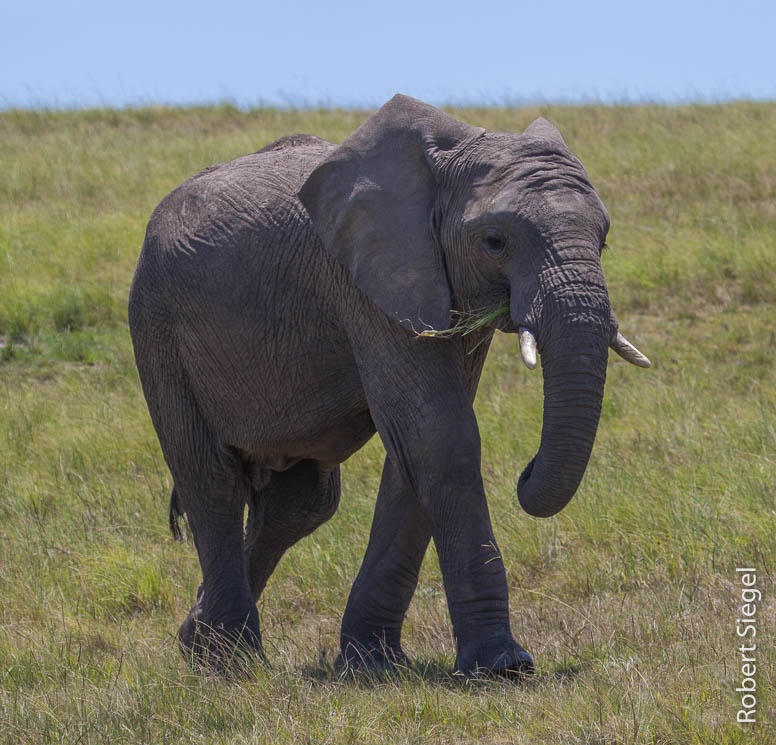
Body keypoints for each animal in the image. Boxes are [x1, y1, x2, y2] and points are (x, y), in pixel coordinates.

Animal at [128, 94, 649, 678]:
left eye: (604, 240)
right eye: (495, 242)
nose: (527, 469)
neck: (451, 154)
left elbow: (415, 451)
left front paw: (372, 664)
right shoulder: (363, 282)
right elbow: (439, 435)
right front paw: (502, 668)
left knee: (300, 505)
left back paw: (196, 645)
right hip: (156, 326)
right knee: (211, 480)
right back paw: (232, 663)